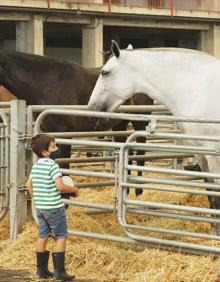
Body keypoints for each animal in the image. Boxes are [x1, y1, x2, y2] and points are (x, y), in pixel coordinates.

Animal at [87, 40, 220, 231]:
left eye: (104, 72)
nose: (91, 111)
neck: (199, 89)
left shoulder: (214, 153)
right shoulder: (200, 153)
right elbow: (210, 193)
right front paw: (214, 231)